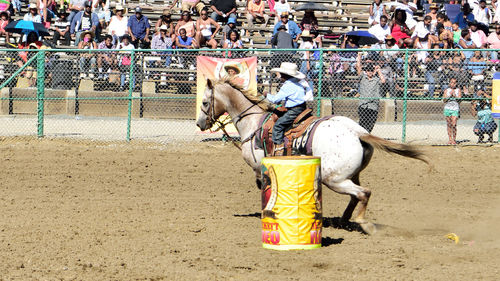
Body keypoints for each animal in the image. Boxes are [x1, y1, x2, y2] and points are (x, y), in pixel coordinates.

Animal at [196, 77, 430, 233]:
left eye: (205, 102)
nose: (199, 124)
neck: (253, 122)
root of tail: (357, 131)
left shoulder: (258, 167)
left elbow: (266, 188)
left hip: (333, 179)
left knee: (364, 193)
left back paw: (363, 223)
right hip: (350, 175)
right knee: (356, 195)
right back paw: (343, 220)